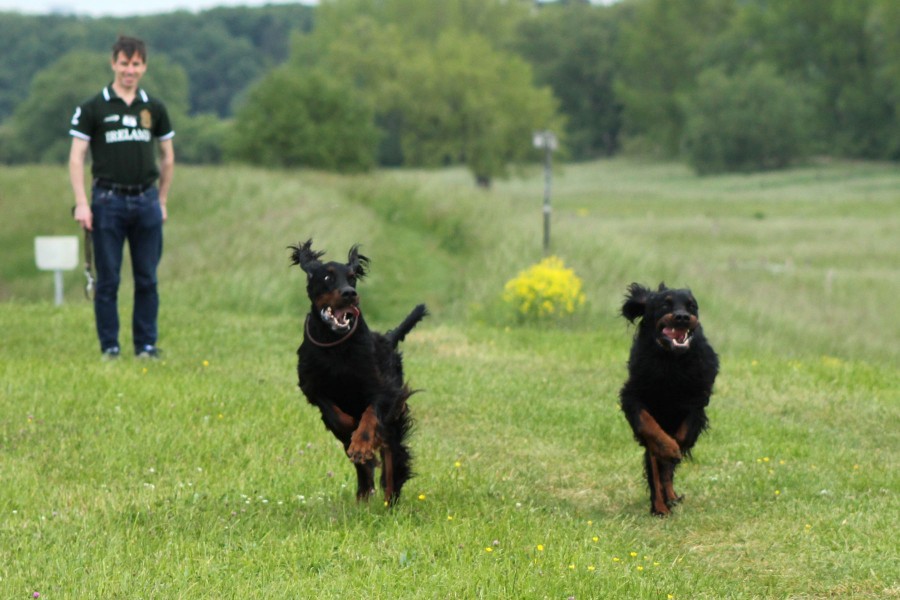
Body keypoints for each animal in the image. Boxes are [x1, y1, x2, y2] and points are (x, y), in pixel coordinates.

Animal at [289, 240, 427, 505]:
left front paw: (362, 444)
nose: (349, 293)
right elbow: (336, 416)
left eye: (352, 278)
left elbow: (370, 414)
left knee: (393, 458)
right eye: (327, 277)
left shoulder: (383, 390)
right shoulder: (313, 387)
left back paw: (389, 499)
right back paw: (363, 492)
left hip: (393, 425)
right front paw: (355, 438)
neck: (336, 344)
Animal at [619, 282, 719, 516]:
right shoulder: (632, 397)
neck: (671, 361)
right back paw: (660, 507)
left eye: (692, 306)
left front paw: (674, 450)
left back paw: (670, 497)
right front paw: (668, 449)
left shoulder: (696, 403)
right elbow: (648, 427)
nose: (682, 317)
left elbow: (681, 437)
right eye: (665, 304)